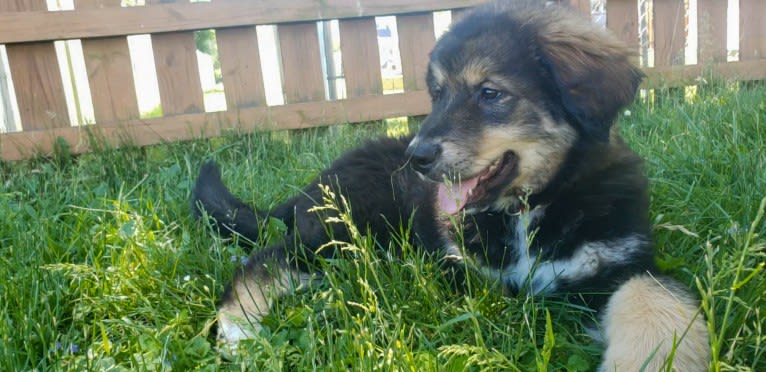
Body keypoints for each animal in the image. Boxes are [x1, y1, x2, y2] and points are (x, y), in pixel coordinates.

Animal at [195, 2, 712, 370]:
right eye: (438, 93)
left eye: (490, 93)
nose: (417, 158)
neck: (530, 206)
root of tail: (307, 189)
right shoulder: (467, 270)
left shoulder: (621, 260)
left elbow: (659, 297)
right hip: (344, 236)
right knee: (261, 263)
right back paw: (241, 335)